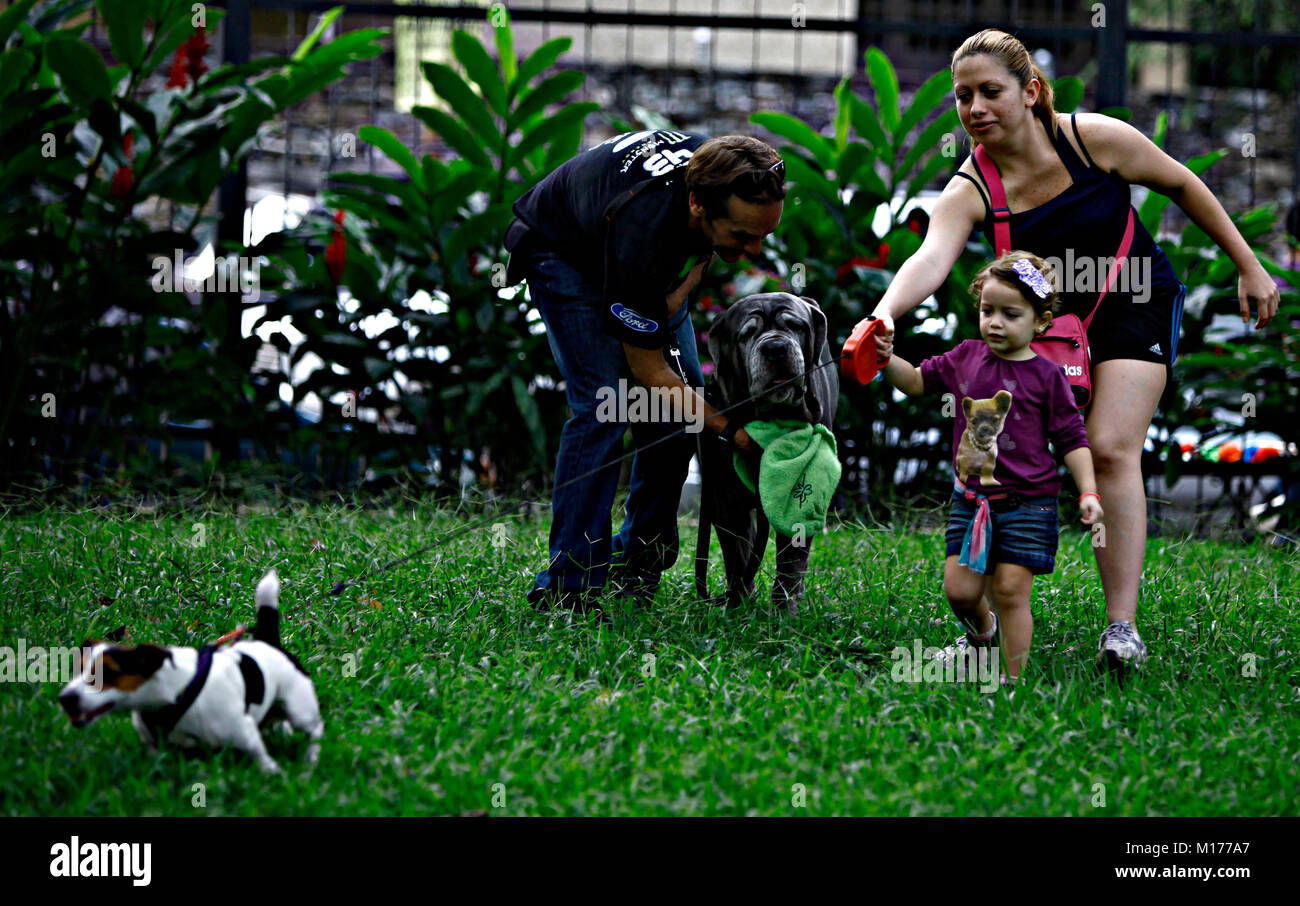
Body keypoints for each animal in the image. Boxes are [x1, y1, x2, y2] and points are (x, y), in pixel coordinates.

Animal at [696, 293, 837, 610]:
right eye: (747, 334)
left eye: (796, 326)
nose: (775, 347)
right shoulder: (725, 497)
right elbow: (737, 555)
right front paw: (738, 604)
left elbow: (791, 560)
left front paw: (785, 608)